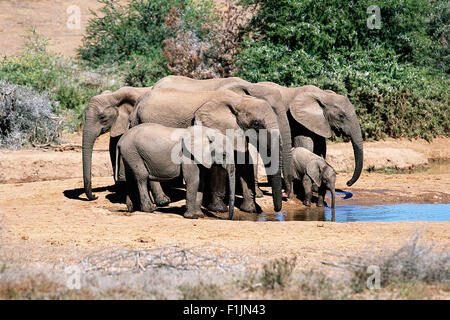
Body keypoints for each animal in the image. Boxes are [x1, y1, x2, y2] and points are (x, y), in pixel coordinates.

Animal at [126, 87, 282, 214]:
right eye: (256, 124)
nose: (277, 210)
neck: (239, 101)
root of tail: (137, 104)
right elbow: (217, 166)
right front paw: (219, 209)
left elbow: (244, 161)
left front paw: (251, 210)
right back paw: (162, 202)